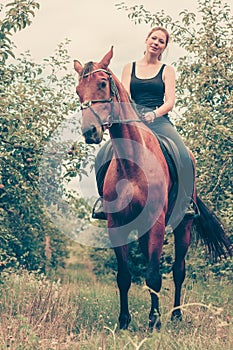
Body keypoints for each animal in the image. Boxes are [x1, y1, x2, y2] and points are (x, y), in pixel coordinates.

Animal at [74, 48, 231, 330]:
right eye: (78, 90)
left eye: (102, 84)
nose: (90, 132)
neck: (132, 163)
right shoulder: (116, 225)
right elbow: (125, 276)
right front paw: (124, 321)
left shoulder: (157, 222)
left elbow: (155, 276)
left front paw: (155, 321)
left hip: (183, 226)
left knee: (179, 270)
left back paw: (176, 315)